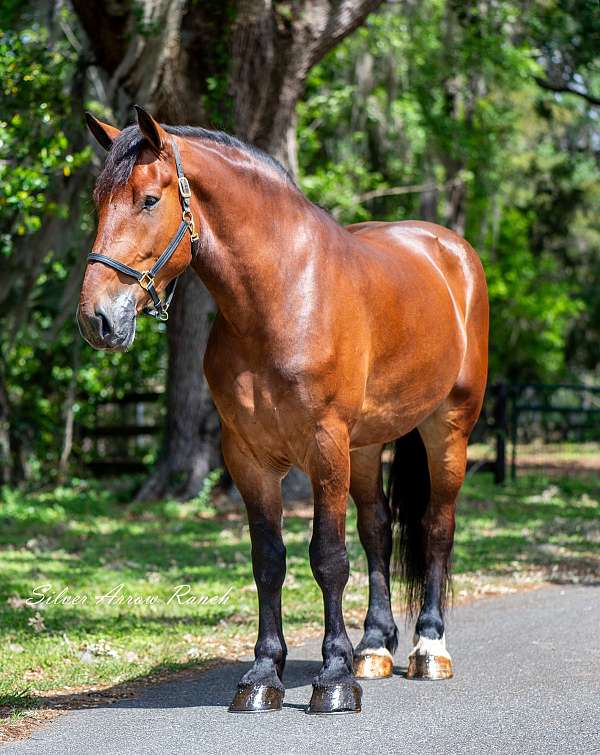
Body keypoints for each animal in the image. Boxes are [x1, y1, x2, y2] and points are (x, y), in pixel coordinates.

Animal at [78, 106, 488, 715]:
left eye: (149, 200)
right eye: (99, 202)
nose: (97, 318)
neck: (281, 295)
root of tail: (451, 251)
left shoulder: (324, 446)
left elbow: (328, 557)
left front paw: (334, 678)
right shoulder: (248, 456)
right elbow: (269, 560)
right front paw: (262, 676)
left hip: (448, 429)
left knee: (437, 526)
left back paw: (428, 648)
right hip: (366, 445)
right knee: (379, 529)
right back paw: (375, 646)